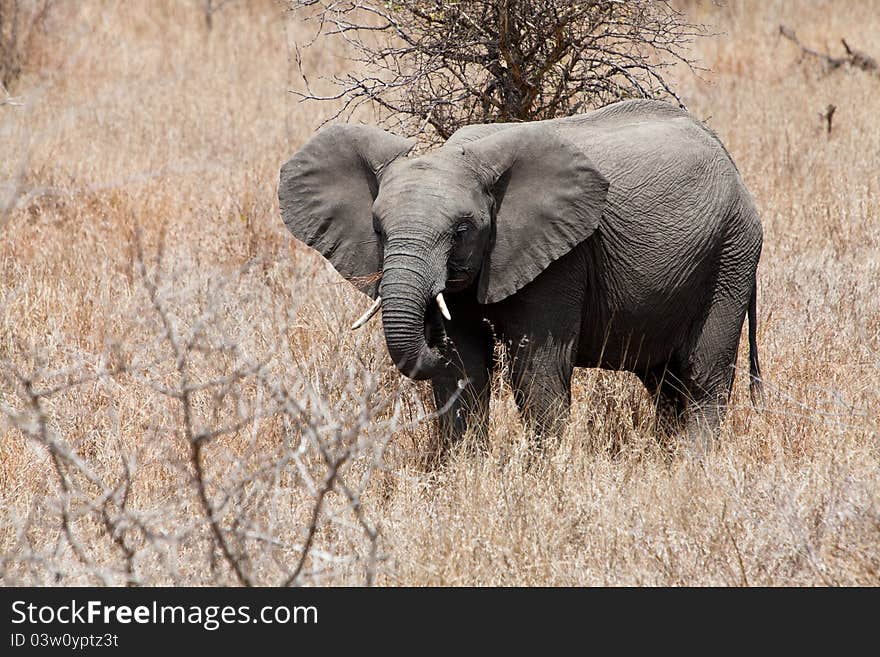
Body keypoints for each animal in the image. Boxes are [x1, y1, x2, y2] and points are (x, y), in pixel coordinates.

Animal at [280, 98, 764, 456]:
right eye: (378, 230)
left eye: (461, 231)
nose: (429, 334)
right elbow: (463, 367)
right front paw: (465, 473)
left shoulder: (563, 258)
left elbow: (537, 368)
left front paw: (544, 475)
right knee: (663, 380)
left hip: (731, 254)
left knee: (703, 375)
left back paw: (692, 463)